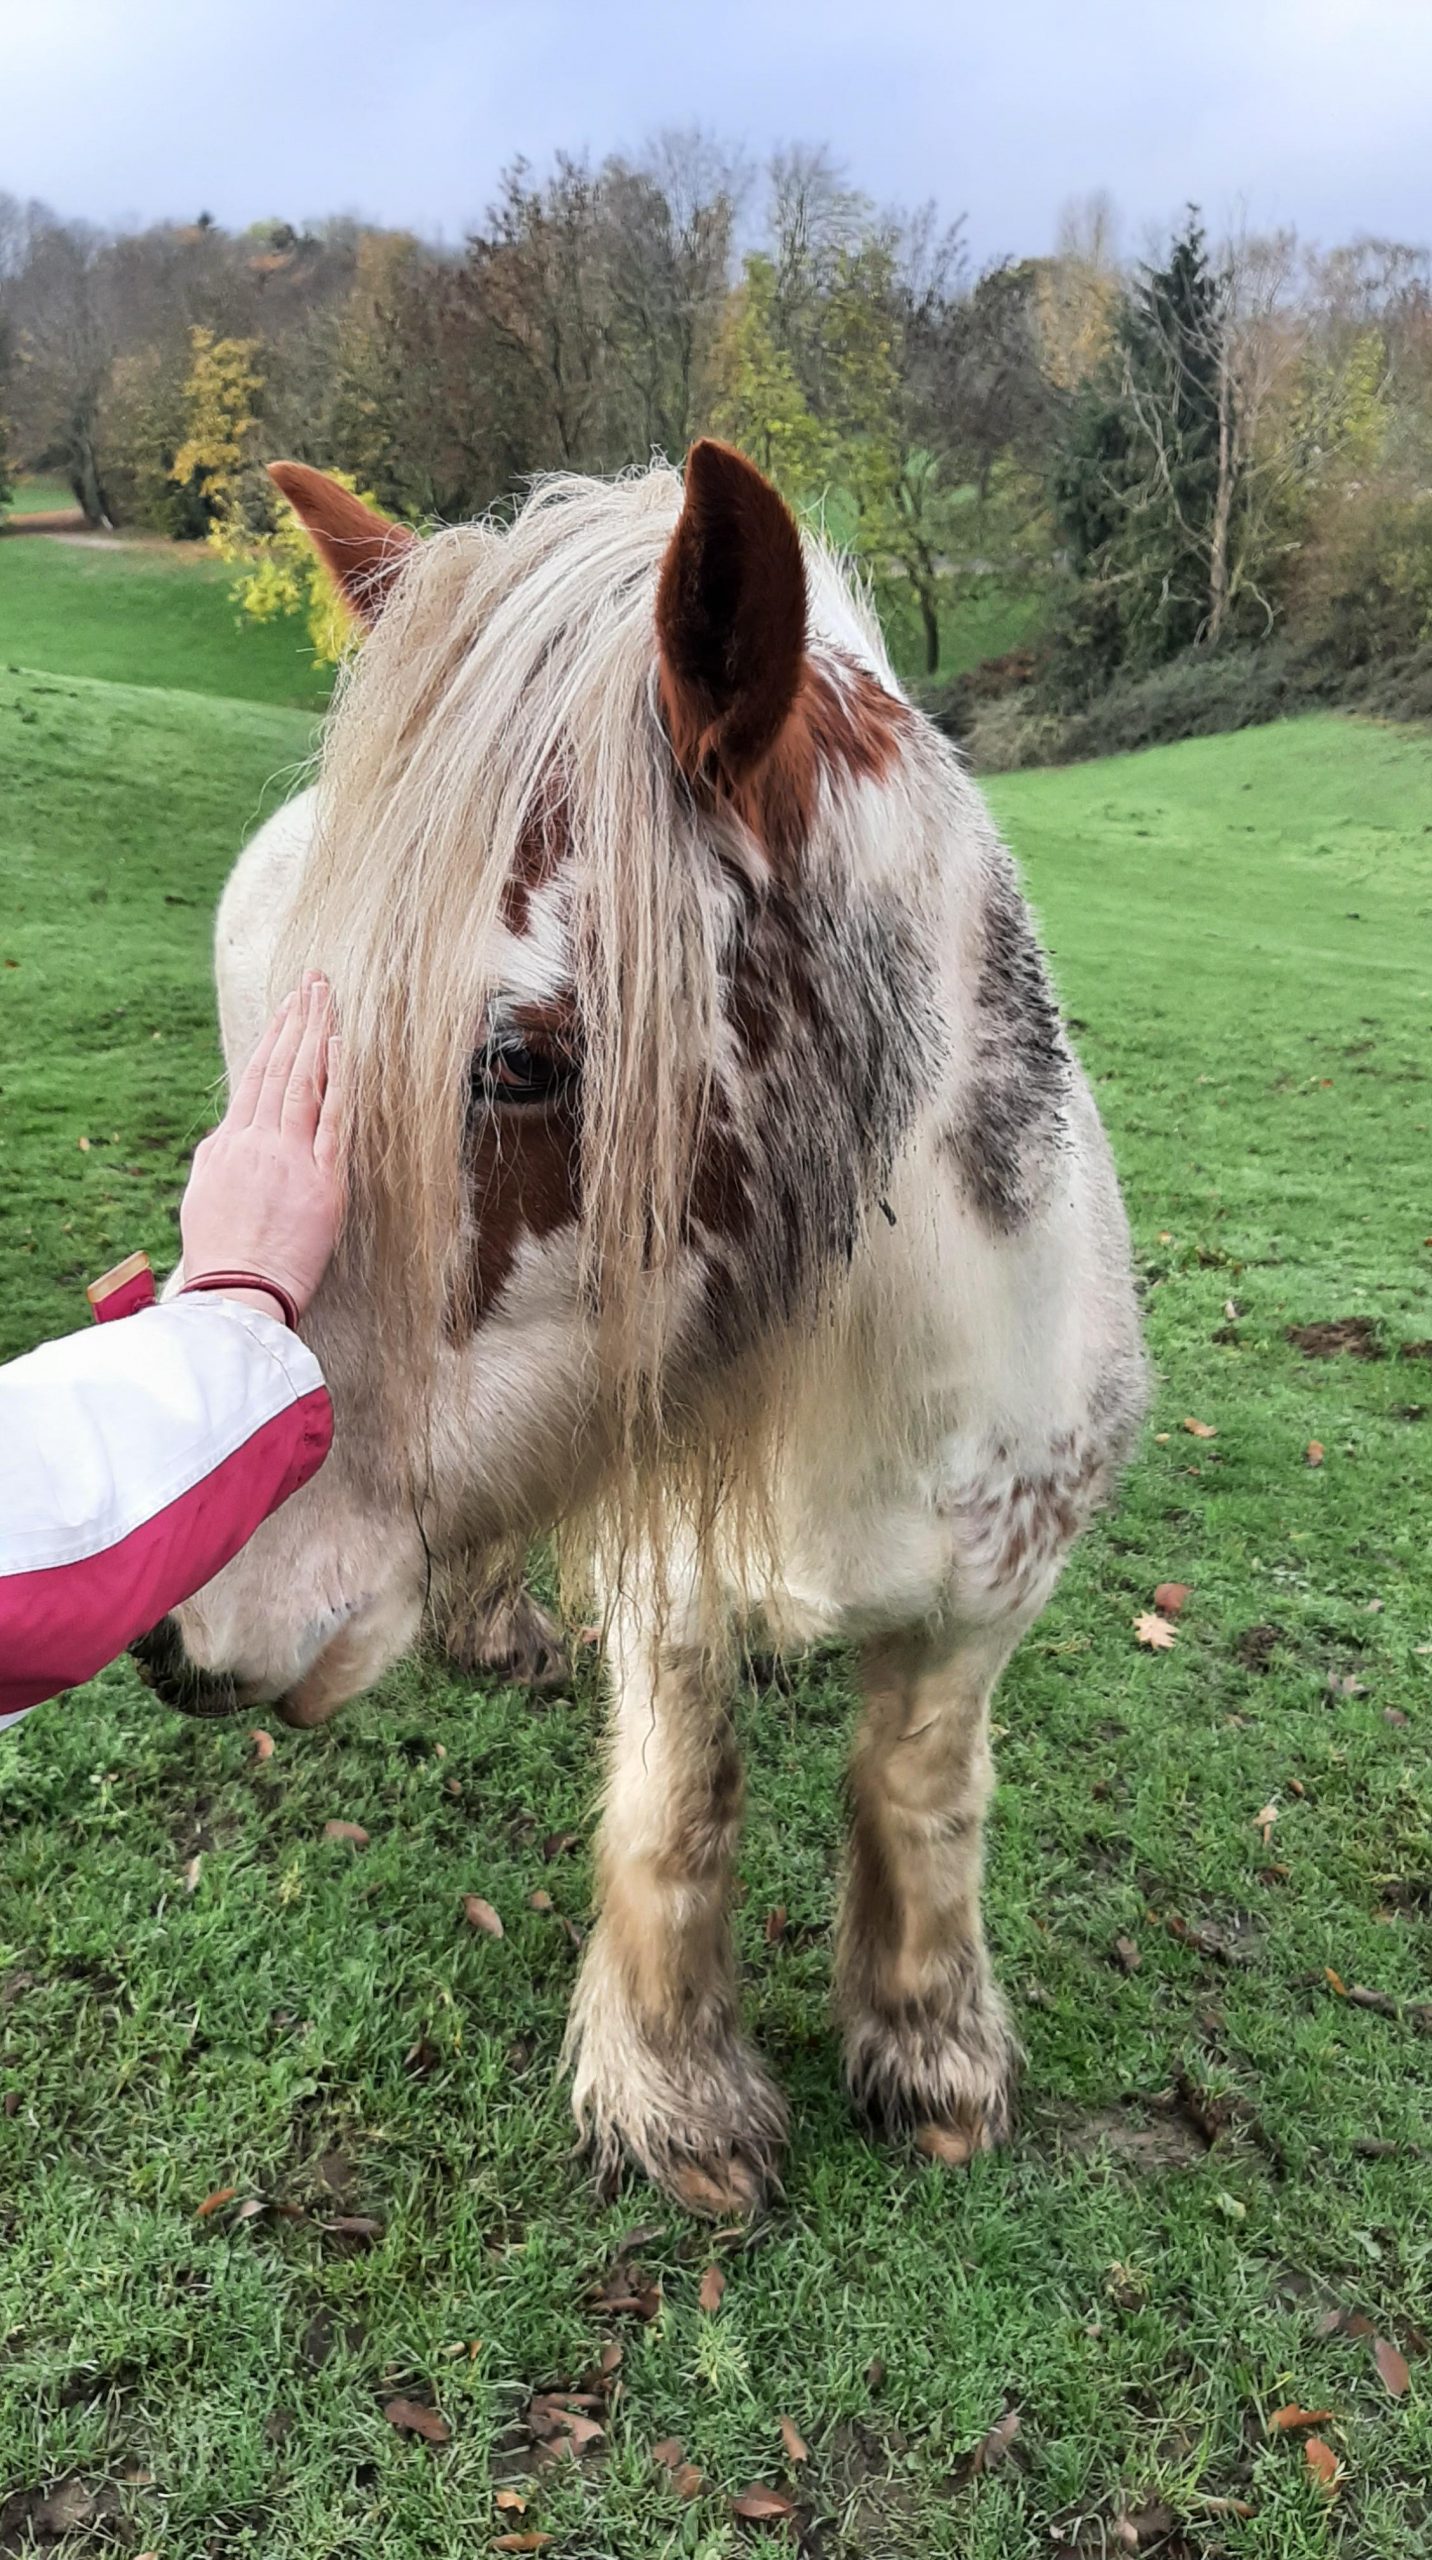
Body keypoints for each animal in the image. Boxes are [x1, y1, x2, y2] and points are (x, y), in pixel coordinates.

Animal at [135, 442, 1145, 2215]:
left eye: (523, 1062)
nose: (174, 1623)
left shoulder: (993, 1588)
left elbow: (926, 1790)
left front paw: (932, 2056)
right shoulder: (667, 1577)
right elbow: (688, 1804)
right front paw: (680, 2103)